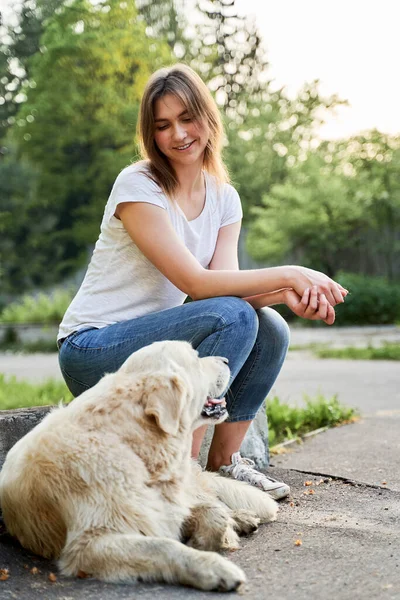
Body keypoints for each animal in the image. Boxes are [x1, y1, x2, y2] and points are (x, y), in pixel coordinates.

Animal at [0, 340, 276, 592]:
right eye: (195, 358)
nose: (226, 360)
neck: (128, 442)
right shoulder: (90, 544)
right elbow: (163, 545)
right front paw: (213, 566)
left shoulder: (165, 508)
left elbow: (212, 512)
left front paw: (213, 534)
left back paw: (242, 517)